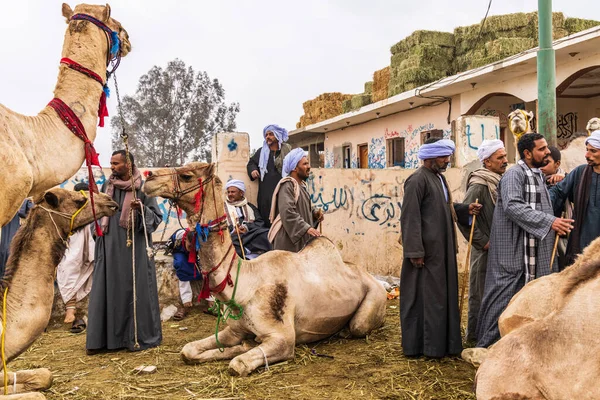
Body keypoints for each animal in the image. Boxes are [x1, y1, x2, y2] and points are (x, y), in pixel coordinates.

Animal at [144, 161, 390, 376]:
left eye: (186, 175)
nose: (148, 177)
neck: (245, 285)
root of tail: (371, 276)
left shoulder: (283, 338)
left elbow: (238, 364)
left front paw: (242, 350)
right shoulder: (234, 329)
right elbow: (187, 351)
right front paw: (242, 345)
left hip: (372, 299)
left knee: (358, 325)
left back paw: (345, 330)